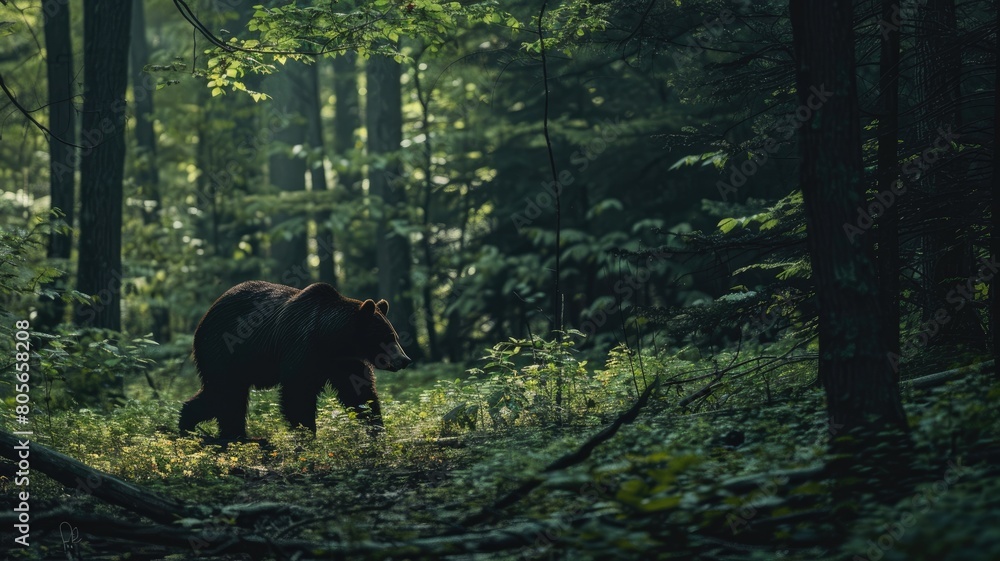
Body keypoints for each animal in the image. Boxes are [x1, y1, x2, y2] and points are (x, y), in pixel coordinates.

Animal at [178, 280, 411, 439]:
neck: (332, 339)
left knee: (224, 396)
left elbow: (359, 394)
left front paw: (377, 431)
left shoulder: (343, 362)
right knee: (224, 393)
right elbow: (298, 394)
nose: (404, 359)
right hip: (223, 350)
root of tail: (206, 314)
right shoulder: (301, 349)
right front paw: (307, 436)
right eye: (386, 338)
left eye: (395, 337)